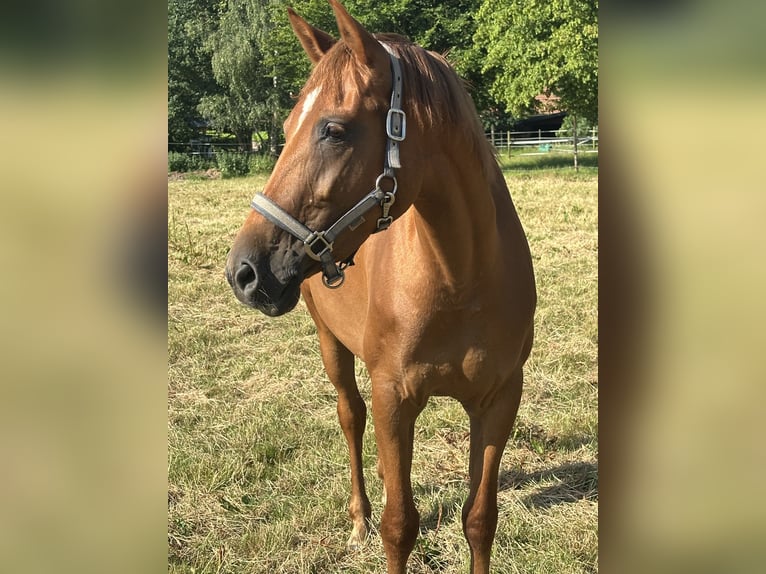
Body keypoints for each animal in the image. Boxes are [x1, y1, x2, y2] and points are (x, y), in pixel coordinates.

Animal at [225, 1, 536, 572]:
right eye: (287, 126)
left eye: (334, 130)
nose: (243, 271)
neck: (461, 280)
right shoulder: (394, 398)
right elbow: (400, 526)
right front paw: (380, 523)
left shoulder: (500, 398)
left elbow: (480, 520)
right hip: (331, 344)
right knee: (351, 417)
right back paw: (358, 520)